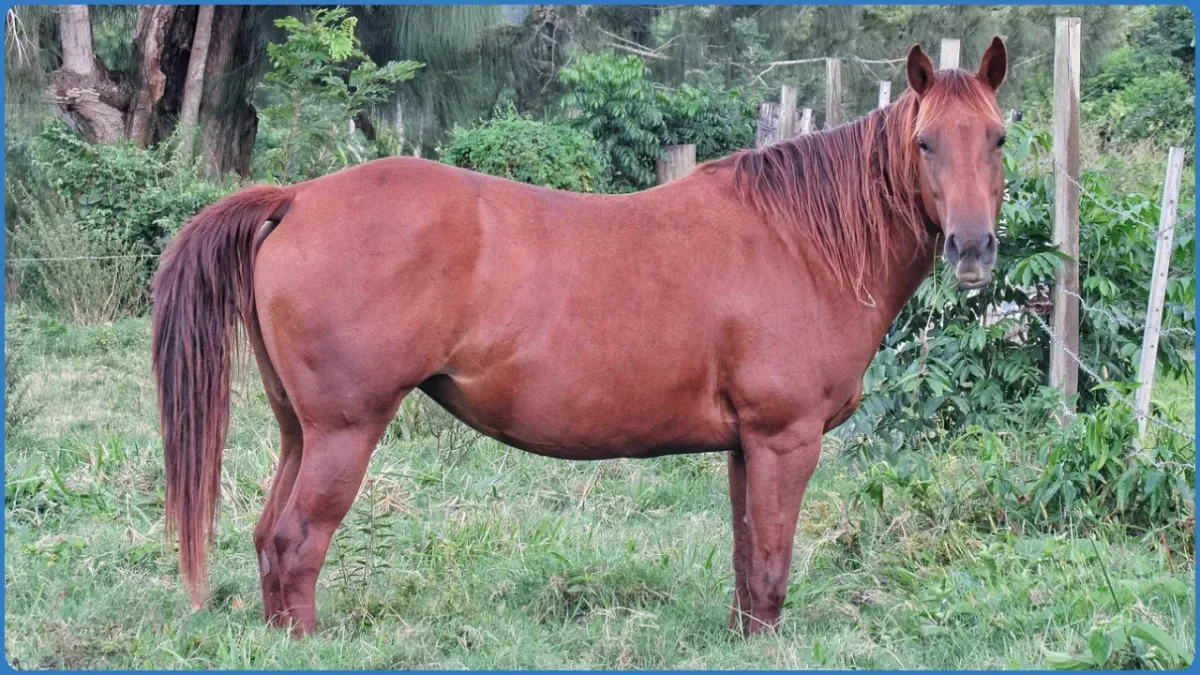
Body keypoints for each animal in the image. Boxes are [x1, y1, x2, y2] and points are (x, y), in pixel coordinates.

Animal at [151, 38, 1009, 637]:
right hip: (344, 430)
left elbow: (746, 561)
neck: (800, 240)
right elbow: (770, 563)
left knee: (270, 537)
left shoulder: (747, 447)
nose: (972, 250)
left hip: (301, 430)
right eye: (926, 142)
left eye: (997, 138)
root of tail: (296, 197)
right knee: (298, 540)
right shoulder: (783, 438)